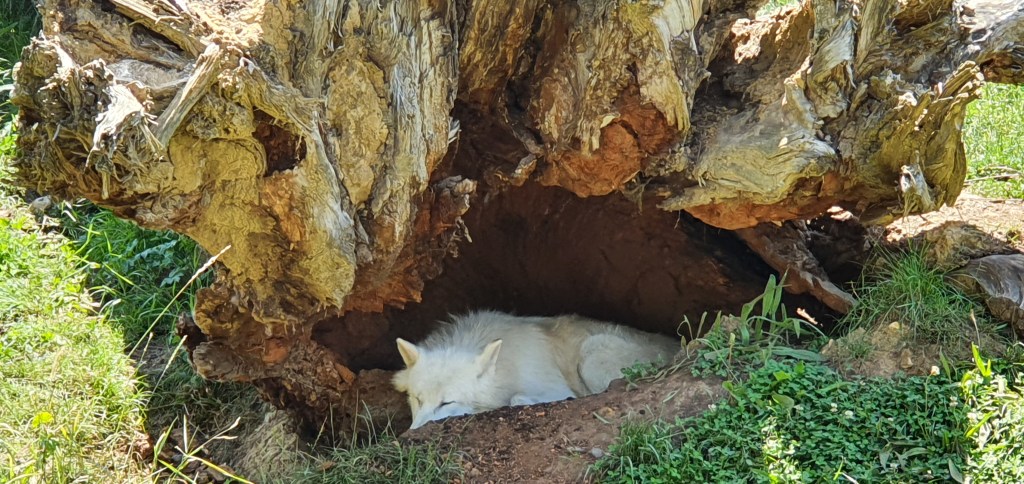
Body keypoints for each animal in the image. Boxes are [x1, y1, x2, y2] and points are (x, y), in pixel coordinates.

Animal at [392, 310, 679, 429]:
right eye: (417, 400)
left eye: (447, 402)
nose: (412, 432)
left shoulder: (554, 387)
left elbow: (517, 398)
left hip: (592, 354)